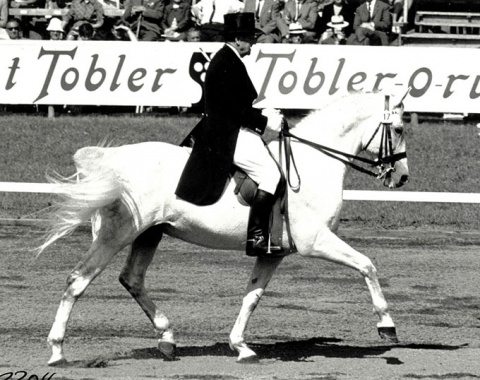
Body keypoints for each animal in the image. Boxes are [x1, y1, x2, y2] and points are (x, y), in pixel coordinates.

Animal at [40, 91, 408, 366]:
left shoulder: (274, 253)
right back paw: (58, 352)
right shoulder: (315, 241)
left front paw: (241, 347)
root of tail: (111, 161)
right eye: (400, 129)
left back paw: (167, 339)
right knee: (77, 281)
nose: (401, 178)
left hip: (149, 234)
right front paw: (387, 326)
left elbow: (252, 297)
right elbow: (367, 265)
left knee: (132, 279)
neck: (312, 164)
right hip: (116, 234)